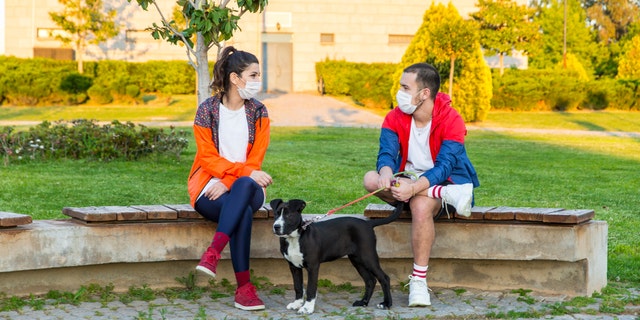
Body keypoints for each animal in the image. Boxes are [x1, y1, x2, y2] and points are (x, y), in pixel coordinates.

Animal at [268, 199, 400, 314]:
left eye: (289, 215)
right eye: (276, 214)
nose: (276, 226)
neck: (295, 237)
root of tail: (368, 223)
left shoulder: (313, 266)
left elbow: (311, 288)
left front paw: (307, 308)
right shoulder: (293, 266)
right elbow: (297, 287)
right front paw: (297, 303)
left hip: (368, 256)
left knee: (384, 278)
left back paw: (386, 303)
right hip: (357, 259)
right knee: (370, 280)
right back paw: (363, 302)